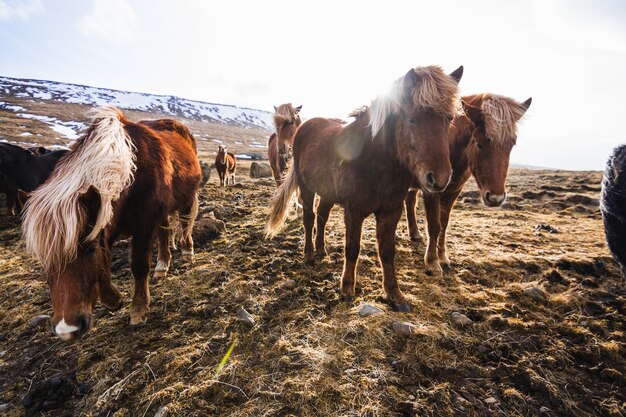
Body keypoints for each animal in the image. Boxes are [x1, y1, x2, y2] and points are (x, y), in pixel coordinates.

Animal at [22, 105, 200, 340]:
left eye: (88, 250)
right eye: (43, 258)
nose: (67, 331)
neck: (132, 174)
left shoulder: (143, 227)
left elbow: (139, 266)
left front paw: (138, 310)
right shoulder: (105, 225)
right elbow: (104, 262)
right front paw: (114, 299)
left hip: (186, 199)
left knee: (185, 223)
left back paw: (187, 252)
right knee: (164, 232)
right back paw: (162, 266)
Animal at [266, 65, 460, 310]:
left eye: (450, 119)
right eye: (412, 119)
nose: (440, 179)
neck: (376, 161)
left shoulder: (390, 211)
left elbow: (387, 251)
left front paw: (394, 295)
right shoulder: (354, 210)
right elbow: (352, 248)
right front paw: (347, 289)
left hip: (328, 193)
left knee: (321, 216)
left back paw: (321, 249)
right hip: (306, 188)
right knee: (309, 217)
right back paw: (309, 255)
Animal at [404, 92, 532, 272]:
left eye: (512, 144)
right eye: (479, 143)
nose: (496, 198)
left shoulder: (454, 192)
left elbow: (444, 223)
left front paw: (443, 258)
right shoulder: (431, 191)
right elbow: (434, 225)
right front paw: (432, 262)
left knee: (409, 201)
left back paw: (415, 233)